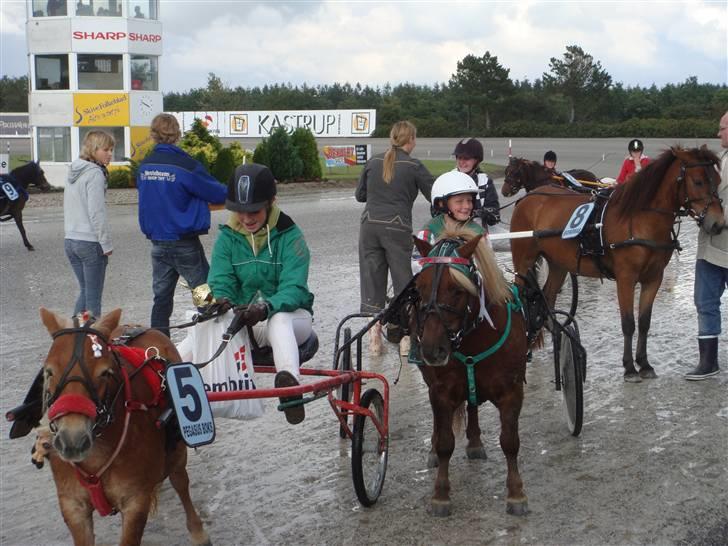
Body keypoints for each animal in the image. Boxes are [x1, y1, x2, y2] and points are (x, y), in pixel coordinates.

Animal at [510, 147, 724, 380]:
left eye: (718, 180)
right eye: (698, 182)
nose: (718, 223)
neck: (640, 220)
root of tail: (530, 197)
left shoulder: (653, 278)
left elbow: (644, 322)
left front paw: (644, 363)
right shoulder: (626, 279)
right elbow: (628, 323)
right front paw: (629, 367)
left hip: (559, 264)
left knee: (547, 299)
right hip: (523, 261)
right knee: (521, 297)